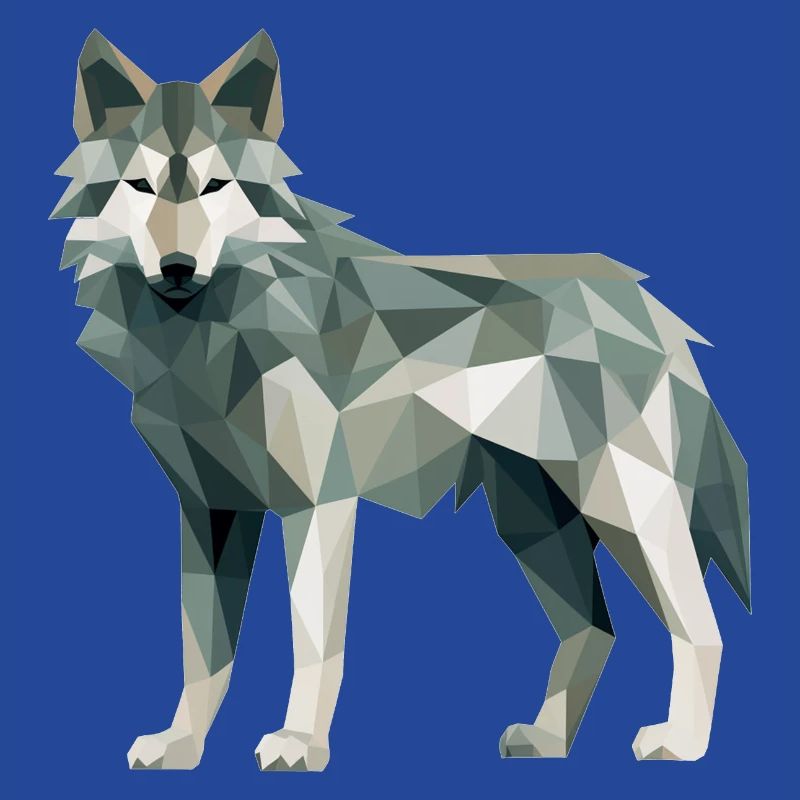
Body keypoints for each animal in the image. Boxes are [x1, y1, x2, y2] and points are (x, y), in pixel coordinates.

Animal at [52, 30, 750, 771]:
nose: (178, 268)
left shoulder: (317, 505)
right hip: (533, 525)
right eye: (140, 185)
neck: (213, 335)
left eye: (216, 187)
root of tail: (651, 308)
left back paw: (680, 743)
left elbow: (312, 646)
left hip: (625, 512)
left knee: (701, 629)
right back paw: (548, 740)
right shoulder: (207, 510)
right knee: (595, 628)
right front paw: (180, 745)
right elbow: (202, 655)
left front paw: (299, 743)